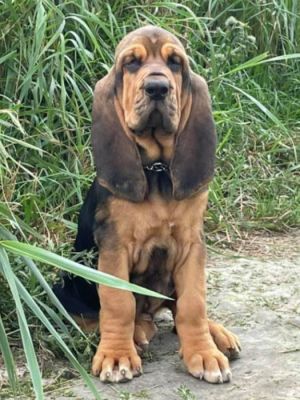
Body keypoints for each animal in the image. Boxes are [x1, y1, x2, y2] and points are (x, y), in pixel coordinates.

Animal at [54, 25, 241, 384]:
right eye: (131, 63)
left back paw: (217, 335)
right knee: (90, 317)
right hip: (65, 284)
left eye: (175, 62)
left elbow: (193, 303)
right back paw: (137, 332)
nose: (157, 87)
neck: (157, 169)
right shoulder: (114, 247)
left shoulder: (191, 245)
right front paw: (116, 355)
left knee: (176, 306)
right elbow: (117, 302)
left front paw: (204, 352)